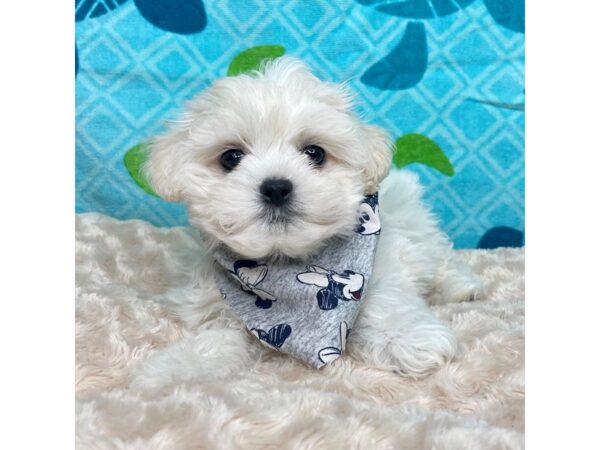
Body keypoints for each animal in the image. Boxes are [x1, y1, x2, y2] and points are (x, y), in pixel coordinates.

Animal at [145, 57, 482, 376]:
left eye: (315, 153)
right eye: (231, 157)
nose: (276, 188)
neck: (286, 265)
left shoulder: (377, 269)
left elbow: (386, 302)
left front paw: (408, 339)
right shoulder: (213, 307)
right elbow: (216, 341)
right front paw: (169, 371)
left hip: (415, 223)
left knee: (440, 259)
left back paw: (463, 288)